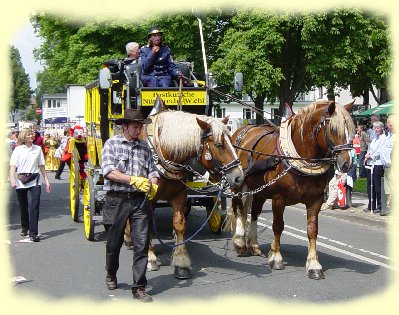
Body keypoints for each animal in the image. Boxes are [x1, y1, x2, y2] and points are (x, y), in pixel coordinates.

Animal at [126, 100, 244, 278]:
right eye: (219, 144)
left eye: (231, 141)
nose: (239, 177)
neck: (163, 153)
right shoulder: (148, 199)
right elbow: (146, 226)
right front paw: (150, 257)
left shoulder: (179, 195)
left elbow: (179, 224)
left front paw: (181, 262)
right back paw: (129, 239)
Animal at [225, 100, 356, 280]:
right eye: (333, 129)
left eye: (350, 130)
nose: (346, 164)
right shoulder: (278, 199)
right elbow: (277, 226)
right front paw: (276, 258)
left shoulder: (315, 201)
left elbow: (312, 230)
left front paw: (314, 265)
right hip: (237, 183)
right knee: (238, 208)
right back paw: (239, 242)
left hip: (259, 190)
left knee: (255, 213)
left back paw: (254, 244)